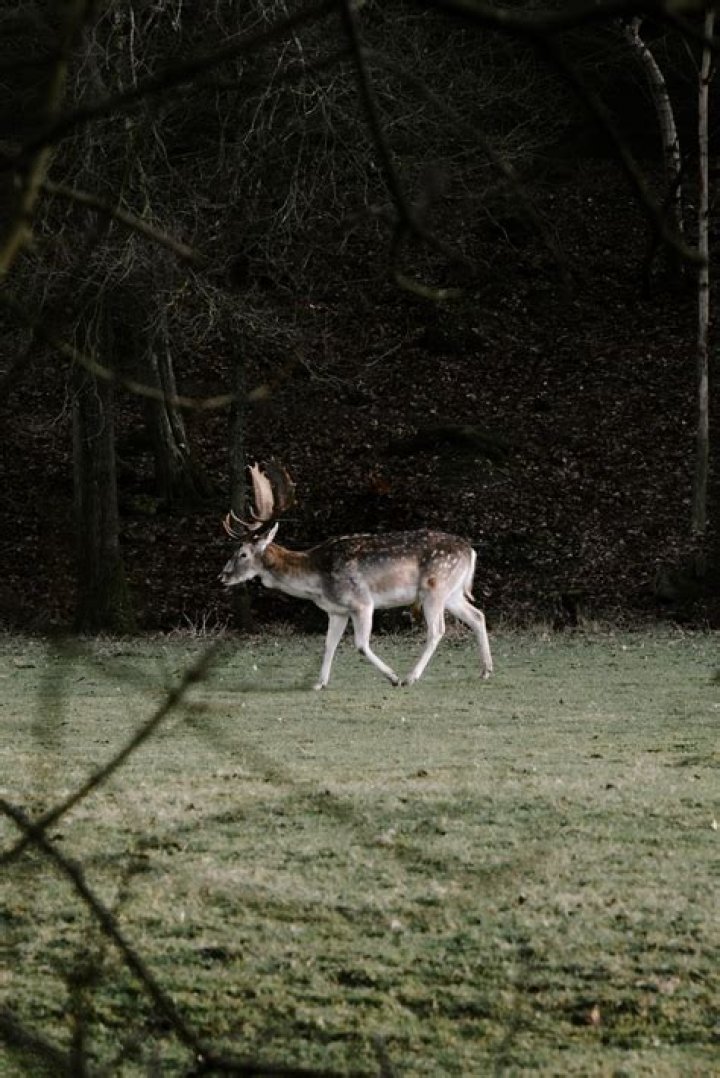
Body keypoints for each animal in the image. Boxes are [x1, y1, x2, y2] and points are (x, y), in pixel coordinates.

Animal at [219, 462, 493, 690]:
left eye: (242, 553)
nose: (222, 576)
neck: (316, 582)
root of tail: (471, 551)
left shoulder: (362, 602)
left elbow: (360, 645)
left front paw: (392, 677)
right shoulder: (337, 611)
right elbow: (329, 644)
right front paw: (319, 683)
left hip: (434, 588)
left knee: (437, 630)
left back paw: (410, 677)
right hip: (452, 593)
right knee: (477, 615)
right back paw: (486, 671)